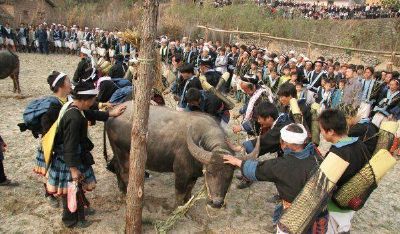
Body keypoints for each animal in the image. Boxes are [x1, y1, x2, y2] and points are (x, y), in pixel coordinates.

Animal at [104, 103, 258, 207]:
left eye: (230, 175)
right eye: (210, 173)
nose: (217, 203)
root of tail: (112, 113)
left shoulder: (194, 174)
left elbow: (189, 189)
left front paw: (186, 204)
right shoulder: (181, 173)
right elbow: (179, 192)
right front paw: (177, 208)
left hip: (117, 153)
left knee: (116, 168)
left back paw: (121, 191)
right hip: (124, 155)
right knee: (124, 173)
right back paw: (127, 195)